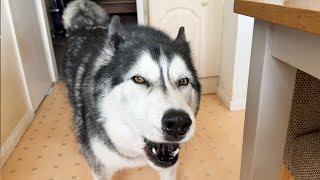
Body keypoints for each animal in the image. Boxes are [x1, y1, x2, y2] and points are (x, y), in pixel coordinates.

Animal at [63, 0, 200, 179]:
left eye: (184, 81)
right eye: (138, 79)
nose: (178, 122)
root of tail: (85, 26)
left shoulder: (169, 168)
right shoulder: (100, 170)